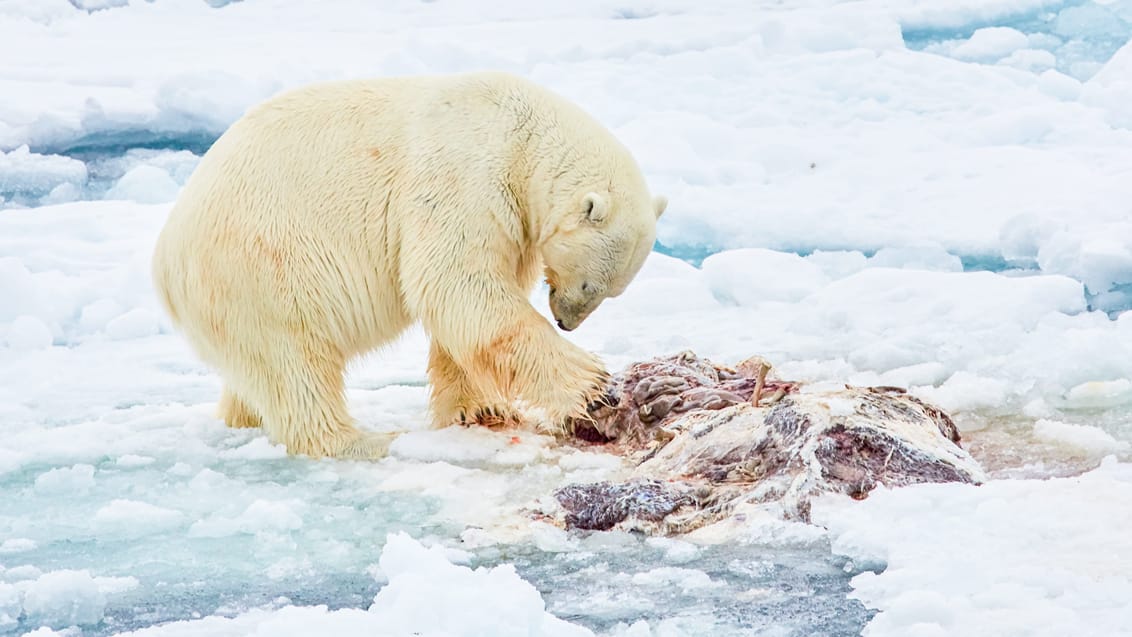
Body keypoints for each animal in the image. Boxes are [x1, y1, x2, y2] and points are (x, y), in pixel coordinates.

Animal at [149, 70, 661, 459]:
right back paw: (361, 440)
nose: (566, 321)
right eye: (592, 285)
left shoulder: (514, 221)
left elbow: (469, 309)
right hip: (262, 267)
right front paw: (594, 387)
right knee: (294, 365)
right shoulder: (466, 177)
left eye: (610, 291)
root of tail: (165, 264)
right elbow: (459, 285)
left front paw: (482, 410)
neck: (522, 134)